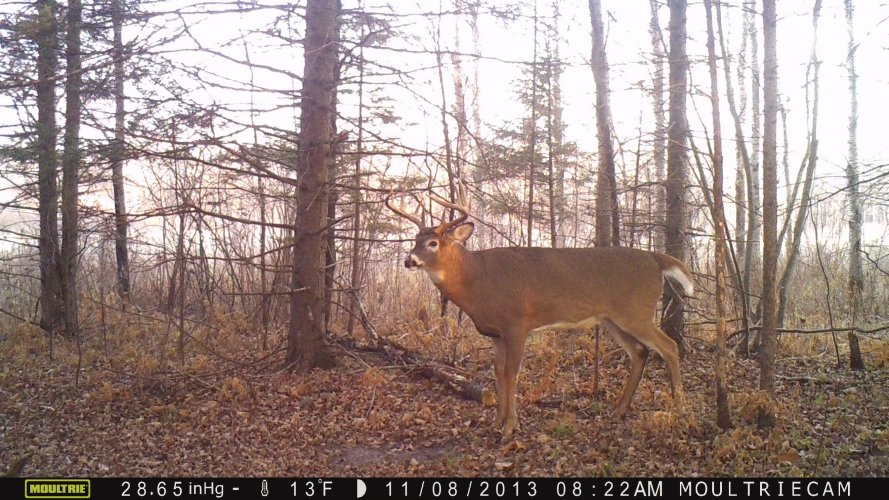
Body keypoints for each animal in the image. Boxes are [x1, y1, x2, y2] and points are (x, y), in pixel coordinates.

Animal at [386, 193, 694, 442]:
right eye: (415, 240)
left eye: (433, 243)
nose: (409, 260)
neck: (476, 279)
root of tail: (657, 259)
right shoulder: (496, 333)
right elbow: (498, 372)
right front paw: (497, 422)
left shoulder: (517, 323)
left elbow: (512, 373)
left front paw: (510, 428)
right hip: (612, 318)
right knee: (640, 351)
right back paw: (618, 411)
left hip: (636, 311)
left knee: (669, 346)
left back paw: (680, 410)